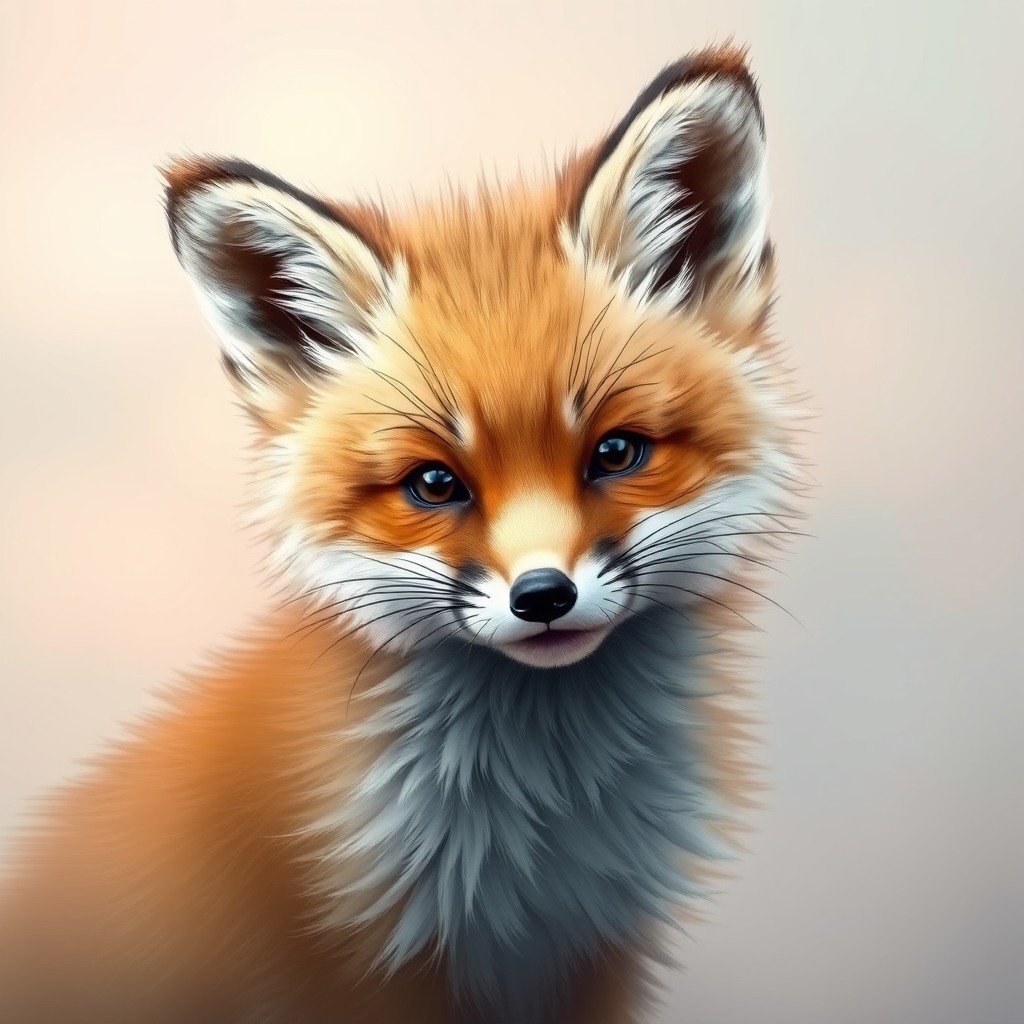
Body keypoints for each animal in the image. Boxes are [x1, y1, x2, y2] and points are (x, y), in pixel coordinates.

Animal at [0, 43, 802, 1024]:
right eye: (433, 483)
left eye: (615, 452)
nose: (543, 596)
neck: (537, 836)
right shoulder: (361, 972)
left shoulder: (589, 954)